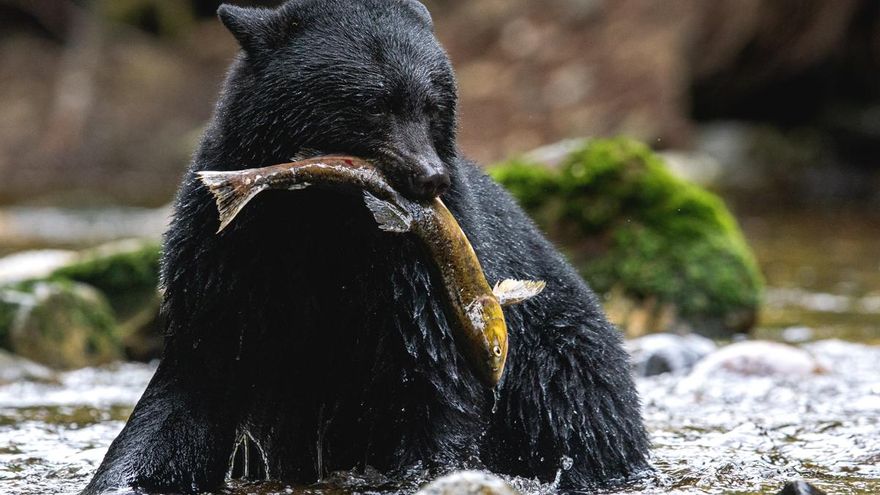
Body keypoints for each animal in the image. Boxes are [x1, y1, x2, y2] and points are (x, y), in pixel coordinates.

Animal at [81, 1, 649, 493]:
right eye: (372, 103)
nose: (431, 177)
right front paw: (124, 478)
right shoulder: (225, 260)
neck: (325, 217)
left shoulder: (417, 277)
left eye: (432, 105)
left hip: (563, 378)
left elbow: (434, 384)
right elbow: (190, 391)